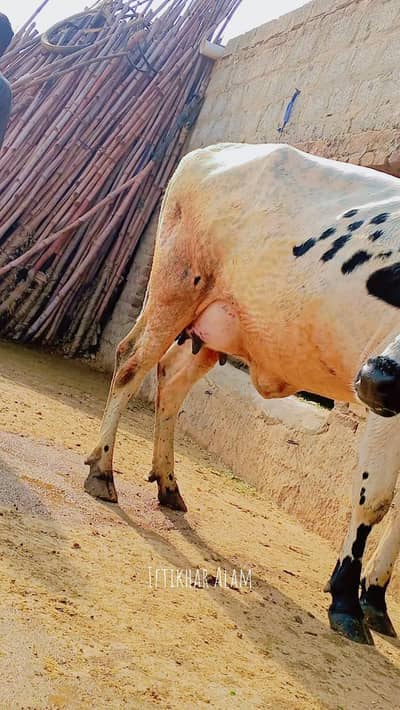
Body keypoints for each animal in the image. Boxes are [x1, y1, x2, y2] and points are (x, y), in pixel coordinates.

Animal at [85, 142, 400, 645]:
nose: (376, 377)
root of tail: (214, 149)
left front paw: (375, 597)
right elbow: (376, 500)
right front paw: (347, 599)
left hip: (213, 331)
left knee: (170, 383)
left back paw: (168, 484)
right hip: (176, 287)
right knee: (131, 362)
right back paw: (103, 470)